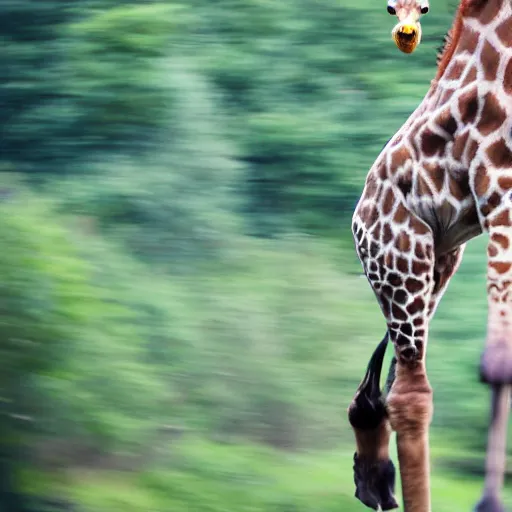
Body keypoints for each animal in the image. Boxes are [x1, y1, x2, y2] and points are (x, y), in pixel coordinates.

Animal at [348, 1, 512, 512]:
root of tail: (359, 217)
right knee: (408, 392)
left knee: (392, 385)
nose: (367, 488)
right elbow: (499, 359)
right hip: (405, 255)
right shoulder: (499, 186)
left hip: (438, 258)